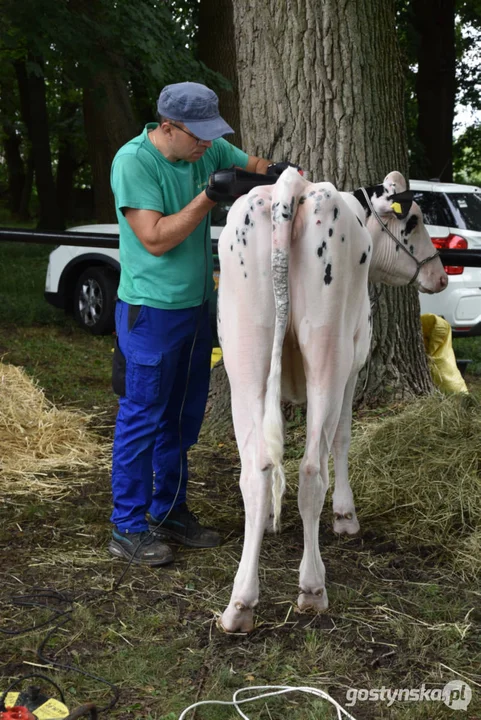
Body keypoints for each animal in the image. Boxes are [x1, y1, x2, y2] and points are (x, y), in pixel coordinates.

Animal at [218, 169, 446, 632]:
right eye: (413, 220)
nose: (441, 276)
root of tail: (291, 188)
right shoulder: (353, 368)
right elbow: (342, 438)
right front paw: (345, 515)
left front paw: (272, 521)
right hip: (329, 351)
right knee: (311, 469)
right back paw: (312, 587)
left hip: (245, 358)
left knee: (256, 469)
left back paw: (240, 603)